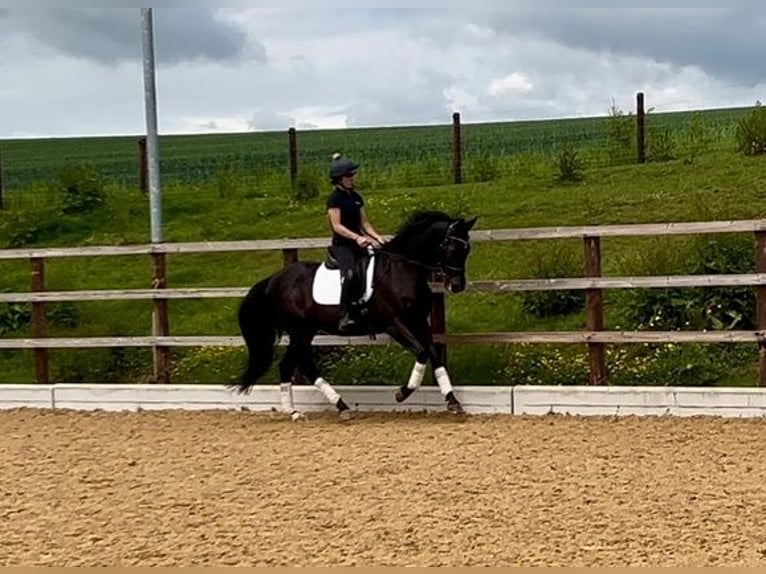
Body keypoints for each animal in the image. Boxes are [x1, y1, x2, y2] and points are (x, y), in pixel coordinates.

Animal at [231, 209, 476, 420]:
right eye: (450, 247)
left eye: (467, 249)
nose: (457, 285)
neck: (401, 270)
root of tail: (274, 279)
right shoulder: (394, 324)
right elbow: (423, 353)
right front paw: (402, 393)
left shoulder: (418, 323)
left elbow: (434, 355)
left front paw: (453, 402)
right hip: (299, 330)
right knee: (297, 365)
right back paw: (318, 410)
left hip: (305, 331)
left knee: (294, 365)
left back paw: (316, 409)